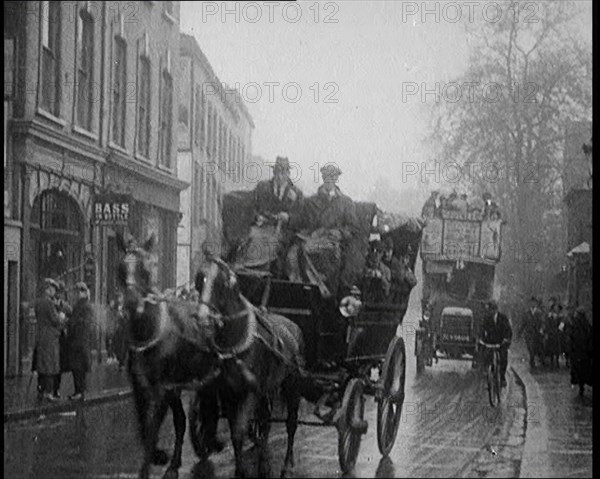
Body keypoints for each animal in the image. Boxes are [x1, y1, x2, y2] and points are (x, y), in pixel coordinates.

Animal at [115, 233, 220, 479]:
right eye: (121, 268)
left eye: (147, 269)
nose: (131, 303)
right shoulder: (142, 386)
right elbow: (144, 427)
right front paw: (159, 456)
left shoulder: (162, 388)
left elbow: (153, 428)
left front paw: (147, 467)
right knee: (182, 420)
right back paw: (175, 464)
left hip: (209, 378)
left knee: (208, 410)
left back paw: (208, 443)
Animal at [197, 258, 308, 479]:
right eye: (200, 278)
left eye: (221, 284)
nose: (203, 318)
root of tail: (293, 326)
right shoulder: (228, 393)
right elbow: (236, 433)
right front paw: (242, 468)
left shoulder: (249, 392)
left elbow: (240, 430)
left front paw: (242, 470)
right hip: (267, 391)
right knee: (265, 422)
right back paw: (264, 460)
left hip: (292, 386)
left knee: (291, 424)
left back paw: (287, 464)